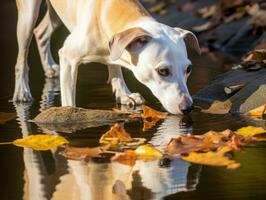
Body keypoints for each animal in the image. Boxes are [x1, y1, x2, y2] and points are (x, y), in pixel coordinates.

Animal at [12, 0, 200, 114]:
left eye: (189, 69)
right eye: (163, 71)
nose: (188, 107)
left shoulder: (115, 47)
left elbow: (115, 67)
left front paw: (124, 94)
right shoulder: (68, 57)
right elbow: (68, 98)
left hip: (59, 14)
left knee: (41, 32)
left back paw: (49, 67)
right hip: (28, 15)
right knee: (22, 55)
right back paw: (22, 92)